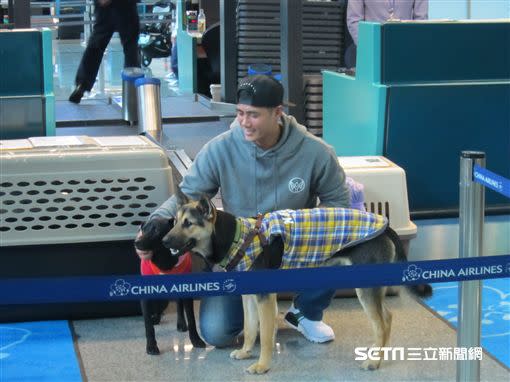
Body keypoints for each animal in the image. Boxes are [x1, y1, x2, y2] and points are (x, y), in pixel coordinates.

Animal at [159, 190, 430, 374]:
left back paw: (374, 361)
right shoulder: (250, 298)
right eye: (174, 221)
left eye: (188, 223)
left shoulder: (264, 298)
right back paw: (379, 354)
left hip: (366, 288)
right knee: (388, 317)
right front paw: (246, 353)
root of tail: (386, 226)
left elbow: (265, 335)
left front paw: (262, 366)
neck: (237, 238)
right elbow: (250, 329)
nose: (163, 241)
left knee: (381, 324)